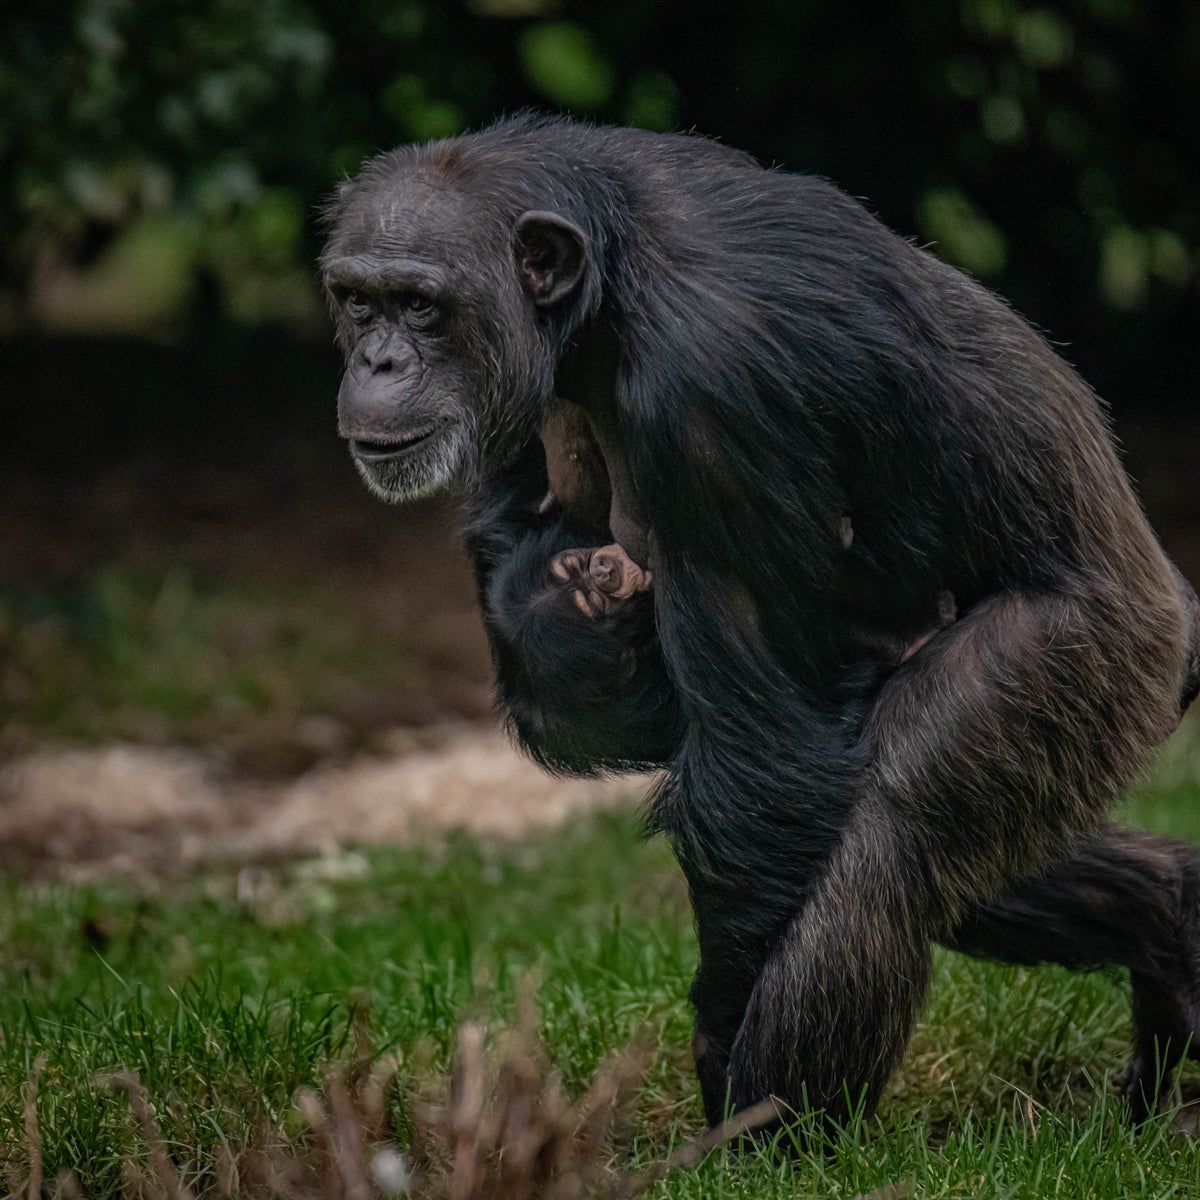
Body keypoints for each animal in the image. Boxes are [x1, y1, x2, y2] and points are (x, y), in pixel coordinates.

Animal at [321, 114, 1200, 1130]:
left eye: (421, 305)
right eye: (356, 300)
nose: (378, 359)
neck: (606, 296)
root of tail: (1173, 624)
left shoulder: (712, 396)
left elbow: (759, 766)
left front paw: (721, 1057)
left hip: (1089, 657)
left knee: (887, 850)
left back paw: (770, 1134)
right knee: (974, 865)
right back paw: (1170, 923)